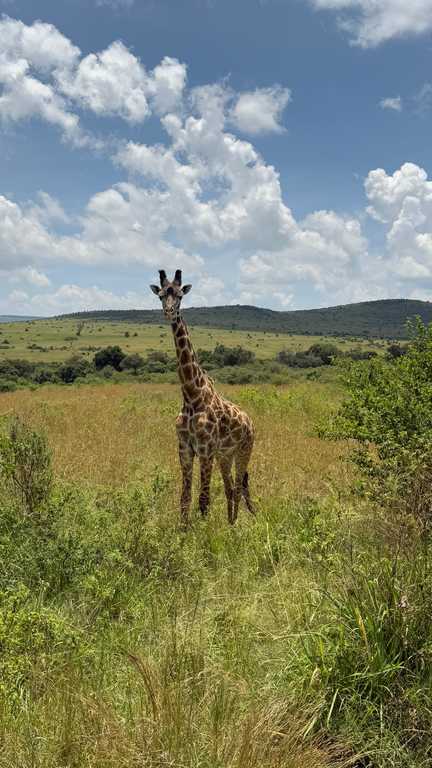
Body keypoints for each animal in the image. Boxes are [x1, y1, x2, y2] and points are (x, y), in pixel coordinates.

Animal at [150, 269, 255, 528]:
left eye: (179, 296)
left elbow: (204, 500)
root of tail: (250, 421)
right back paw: (230, 524)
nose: (169, 312)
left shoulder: (206, 449)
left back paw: (235, 525)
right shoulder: (185, 449)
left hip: (243, 452)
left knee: (240, 486)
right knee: (230, 488)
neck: (191, 394)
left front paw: (205, 534)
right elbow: (185, 498)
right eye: (160, 295)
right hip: (224, 456)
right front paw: (183, 531)